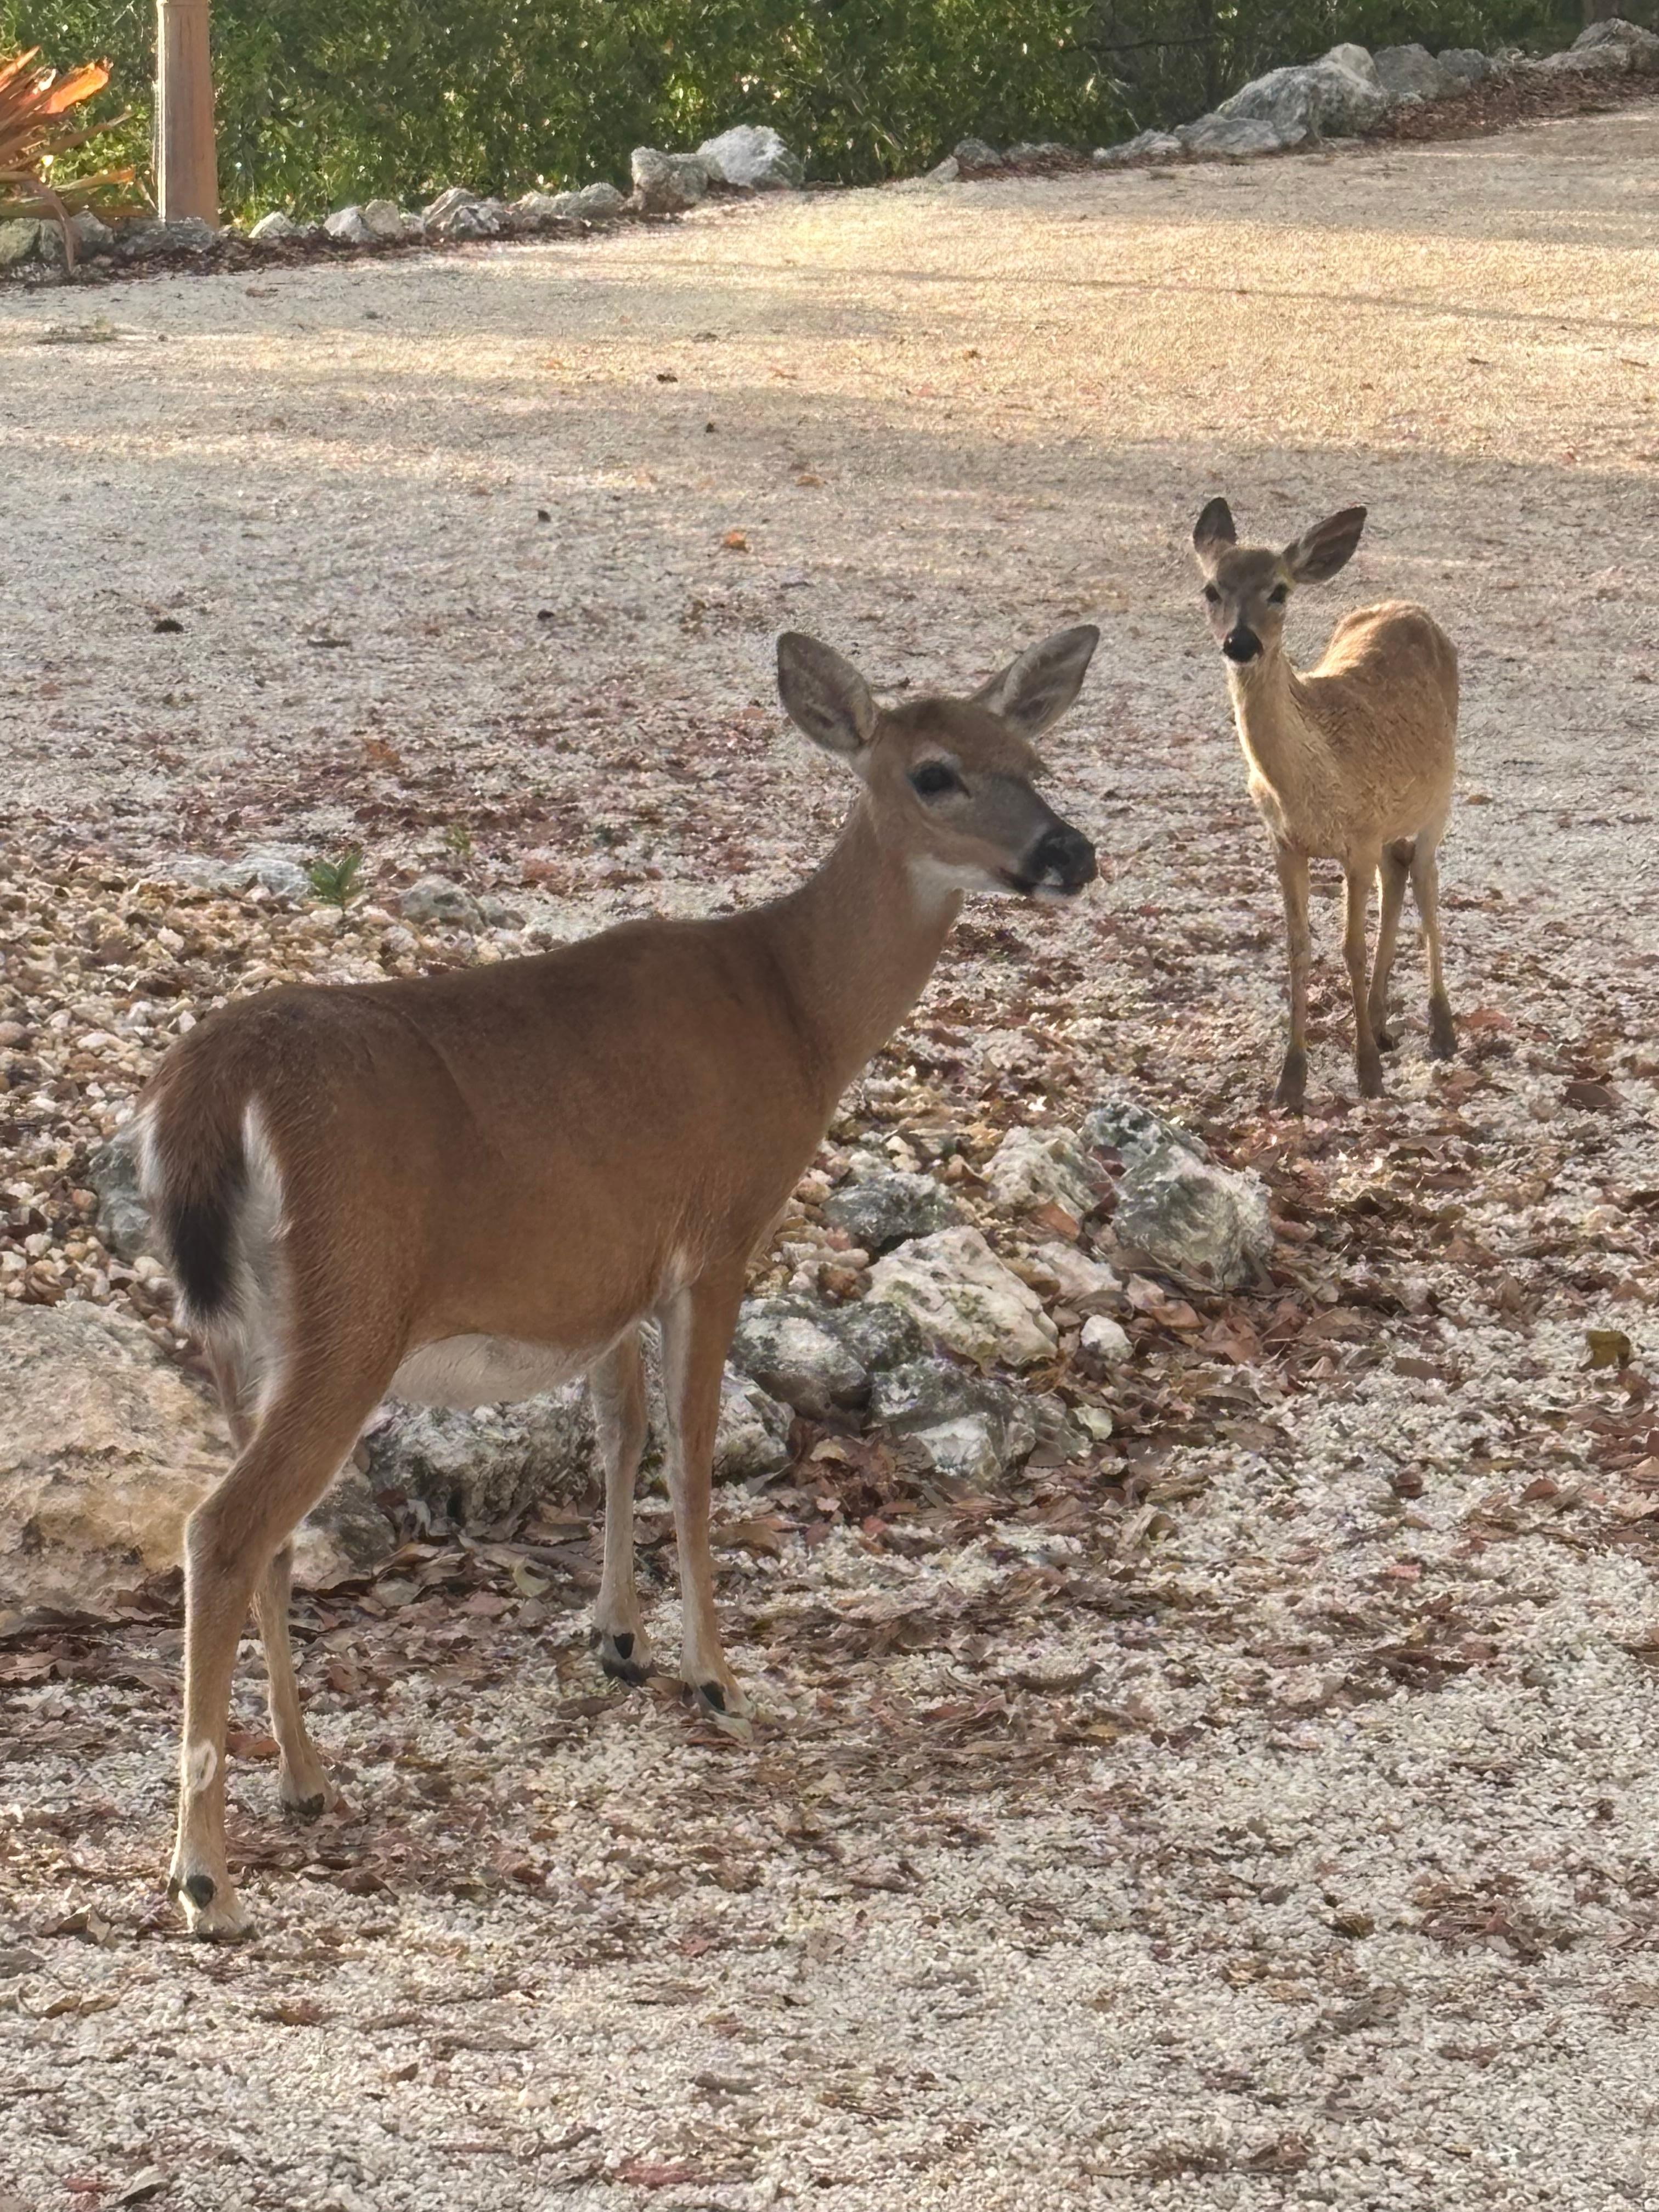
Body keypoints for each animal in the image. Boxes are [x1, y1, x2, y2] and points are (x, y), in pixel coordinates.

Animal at [132, 625, 1100, 1938]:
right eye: (935, 772)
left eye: (1032, 758)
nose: (1071, 853)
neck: (798, 1016)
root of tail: (207, 1089)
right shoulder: (722, 1227)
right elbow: (690, 1458)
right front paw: (714, 1674)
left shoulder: (614, 1271)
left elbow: (619, 1429)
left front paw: (618, 1638)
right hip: (352, 1303)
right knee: (223, 1529)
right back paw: (205, 1879)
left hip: (239, 1334)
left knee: (267, 1538)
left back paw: (306, 1779)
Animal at [1190, 498, 1458, 1115]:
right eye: (1212, 589)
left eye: (1280, 590)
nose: (1241, 643)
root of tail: (1413, 609)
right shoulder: (1287, 842)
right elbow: (1298, 947)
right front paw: (1290, 1081)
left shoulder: (1357, 837)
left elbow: (1350, 948)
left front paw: (1367, 1075)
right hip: (1391, 825)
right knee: (1398, 874)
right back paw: (1382, 1022)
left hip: (1441, 797)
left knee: (1427, 882)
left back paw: (1442, 1029)